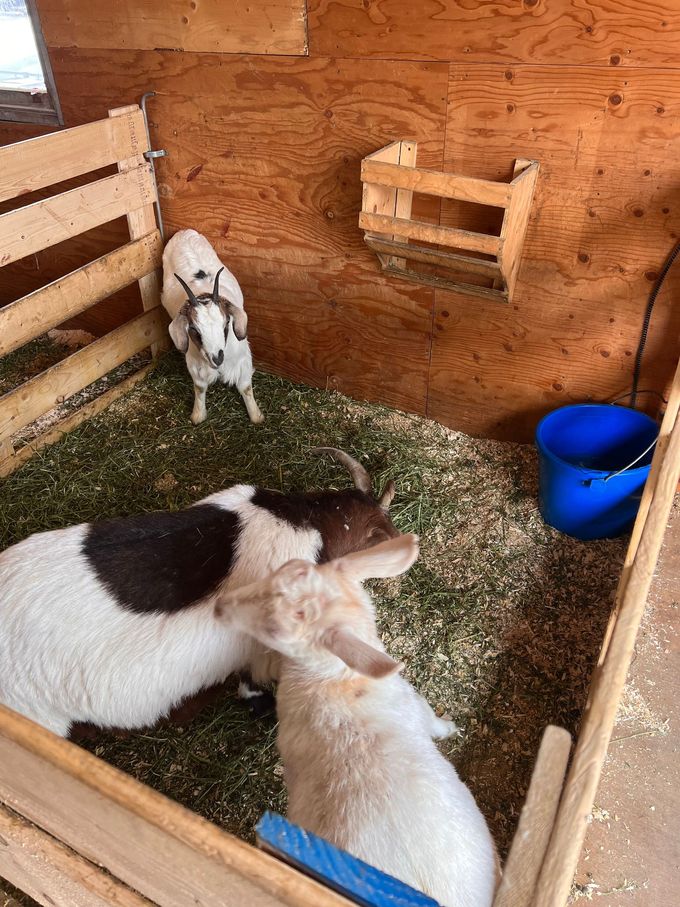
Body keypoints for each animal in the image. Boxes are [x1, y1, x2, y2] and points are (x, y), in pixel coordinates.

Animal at [161, 227, 262, 426]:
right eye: (193, 329)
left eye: (227, 323)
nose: (217, 358)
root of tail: (184, 232)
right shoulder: (194, 363)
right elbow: (200, 388)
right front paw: (198, 416)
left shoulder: (243, 359)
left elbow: (245, 386)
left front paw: (256, 416)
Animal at [216, 536, 500, 904]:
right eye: (285, 569)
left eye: (275, 630)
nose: (219, 607)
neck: (337, 679)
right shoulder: (415, 704)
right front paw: (452, 728)